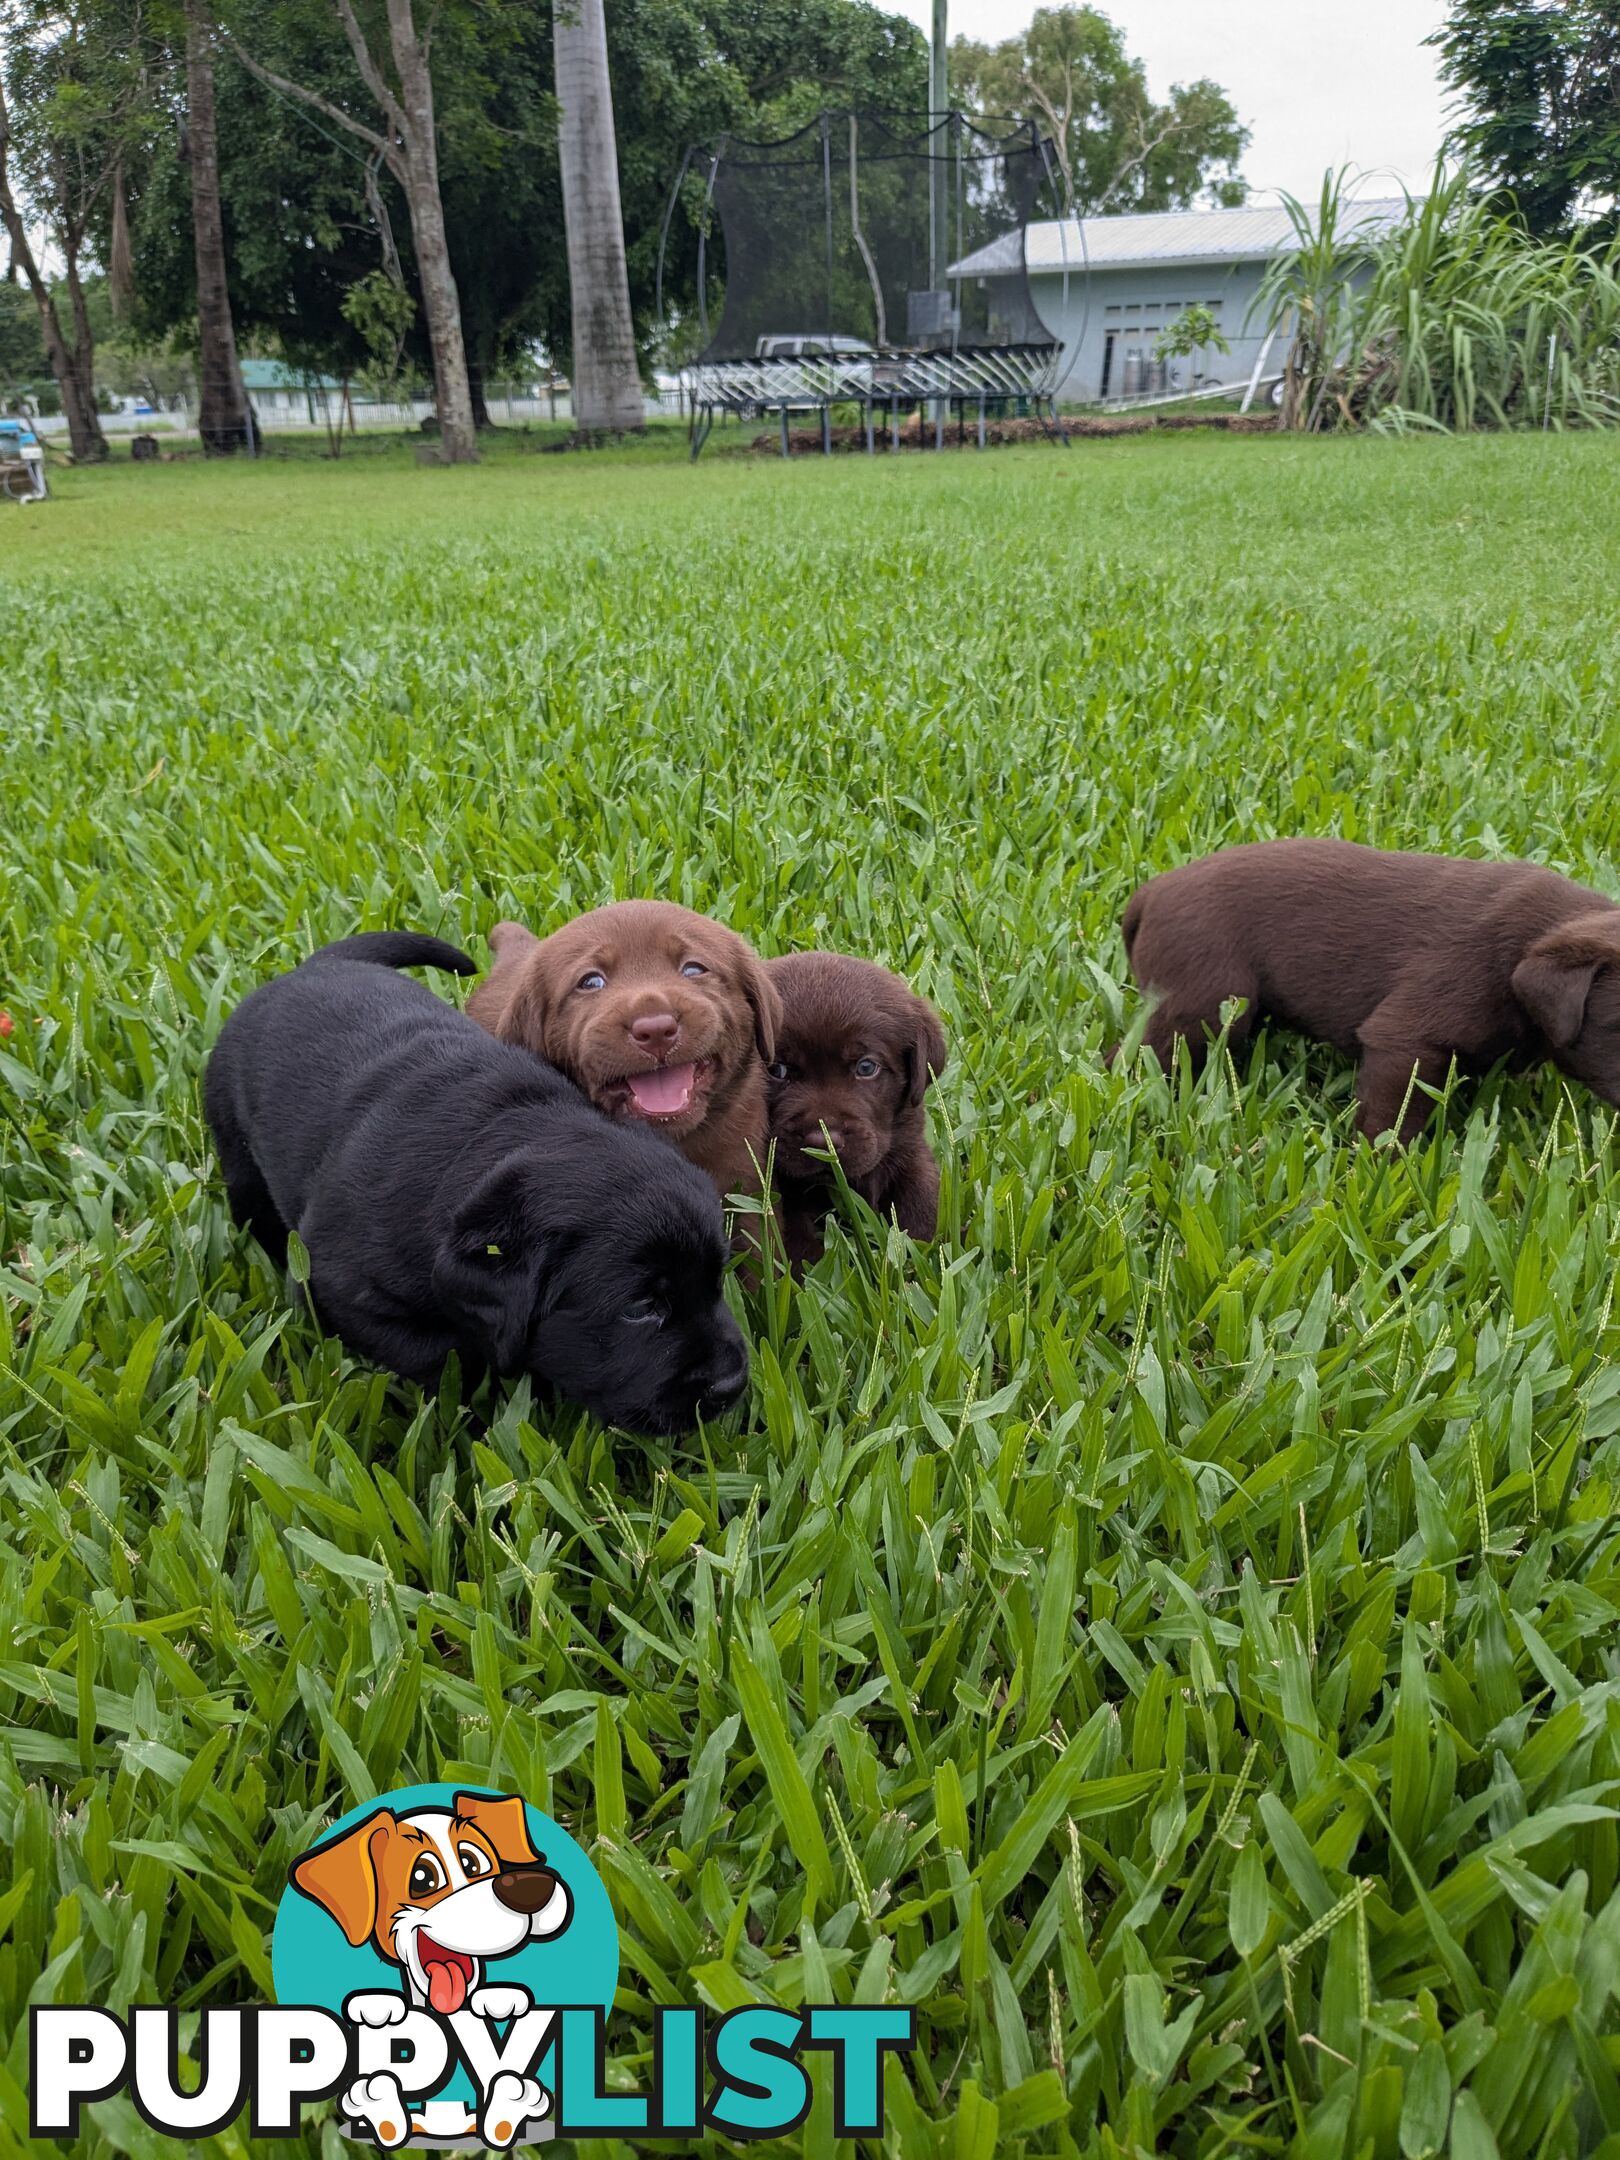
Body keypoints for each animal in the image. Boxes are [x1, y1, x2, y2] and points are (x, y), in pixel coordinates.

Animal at [204, 928, 756, 1434]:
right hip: (239, 1158)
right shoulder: (341, 1292)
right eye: (641, 1308)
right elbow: (443, 1357)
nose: (731, 1386)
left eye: (716, 1281)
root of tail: (316, 965)